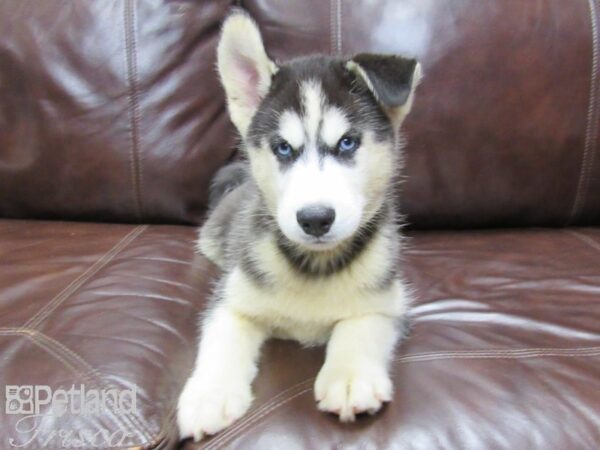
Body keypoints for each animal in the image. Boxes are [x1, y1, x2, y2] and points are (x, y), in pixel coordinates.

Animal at [177, 11, 422, 442]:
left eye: (347, 143)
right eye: (283, 148)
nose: (315, 218)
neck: (316, 266)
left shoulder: (388, 300)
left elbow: (360, 326)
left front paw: (350, 377)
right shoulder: (232, 297)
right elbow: (220, 337)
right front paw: (208, 394)